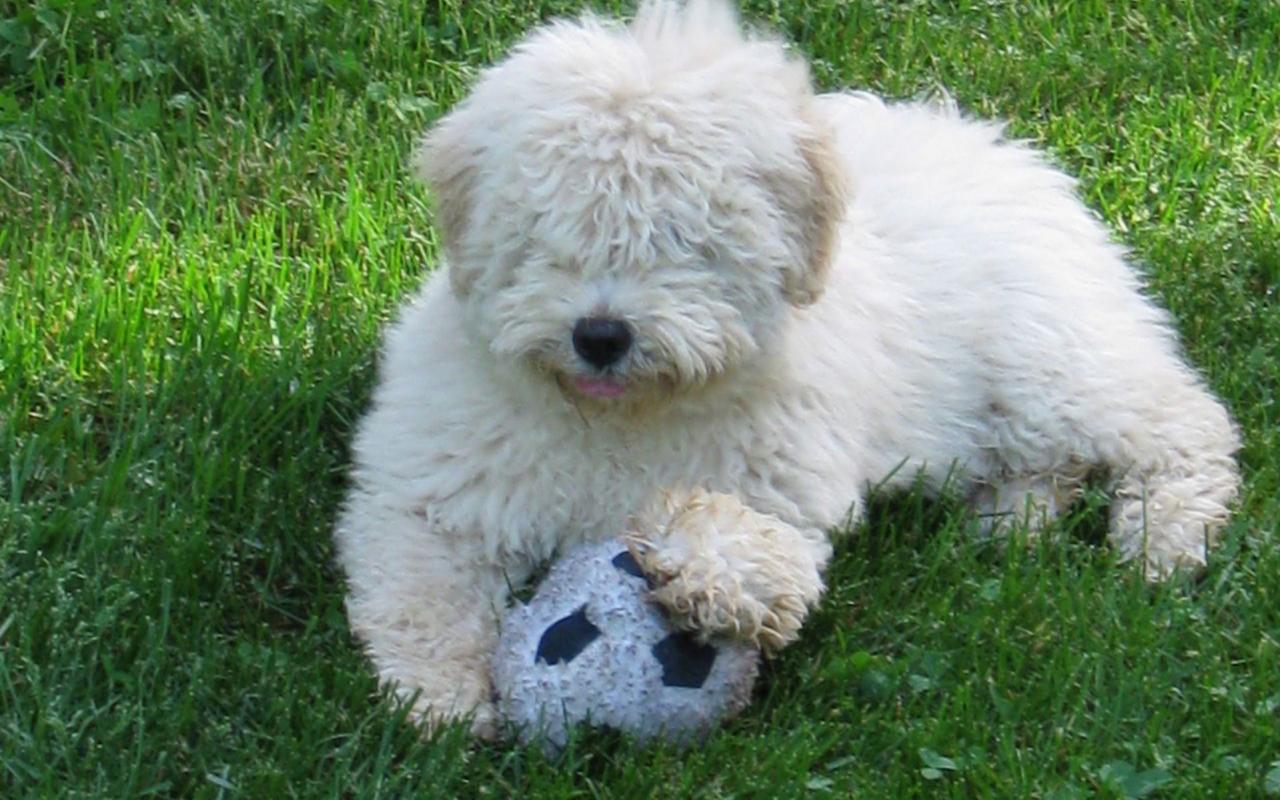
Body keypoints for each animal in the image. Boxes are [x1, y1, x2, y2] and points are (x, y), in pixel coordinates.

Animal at [332, 0, 1239, 737]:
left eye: (679, 239)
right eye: (551, 232)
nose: (601, 335)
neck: (622, 413)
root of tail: (1010, 156)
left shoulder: (785, 470)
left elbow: (760, 533)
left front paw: (705, 571)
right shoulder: (431, 492)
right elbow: (417, 589)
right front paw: (443, 704)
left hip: (1050, 364)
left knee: (1181, 426)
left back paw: (1161, 540)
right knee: (1053, 463)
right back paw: (1009, 522)